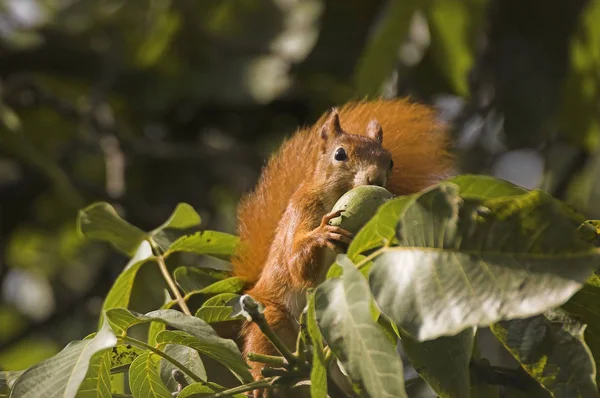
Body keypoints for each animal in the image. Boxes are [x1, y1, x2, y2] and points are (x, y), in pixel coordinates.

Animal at [232, 98, 452, 386]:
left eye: (390, 161)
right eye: (340, 155)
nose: (375, 178)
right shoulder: (303, 208)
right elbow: (296, 266)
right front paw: (322, 234)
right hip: (273, 318)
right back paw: (262, 383)